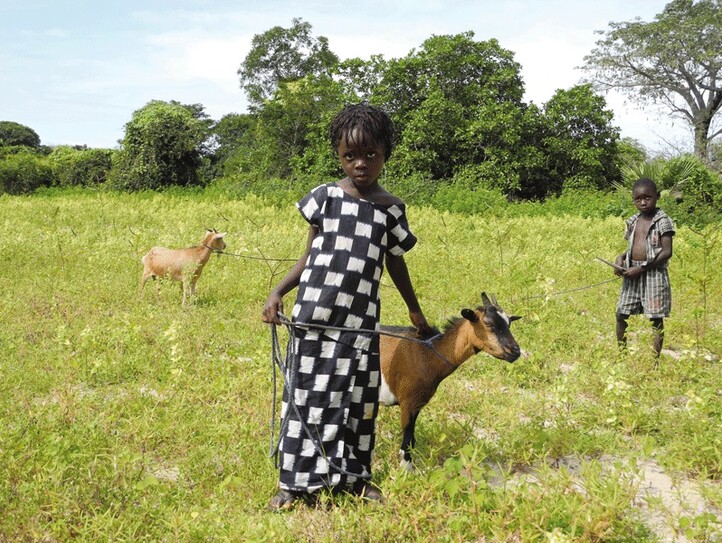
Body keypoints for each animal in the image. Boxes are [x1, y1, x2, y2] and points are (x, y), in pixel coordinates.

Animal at [376, 294, 516, 472]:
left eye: (509, 323)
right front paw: (406, 471)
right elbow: (407, 440)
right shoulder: (407, 403)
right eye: (488, 324)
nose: (515, 351)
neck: (427, 353)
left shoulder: (417, 404)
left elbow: (412, 439)